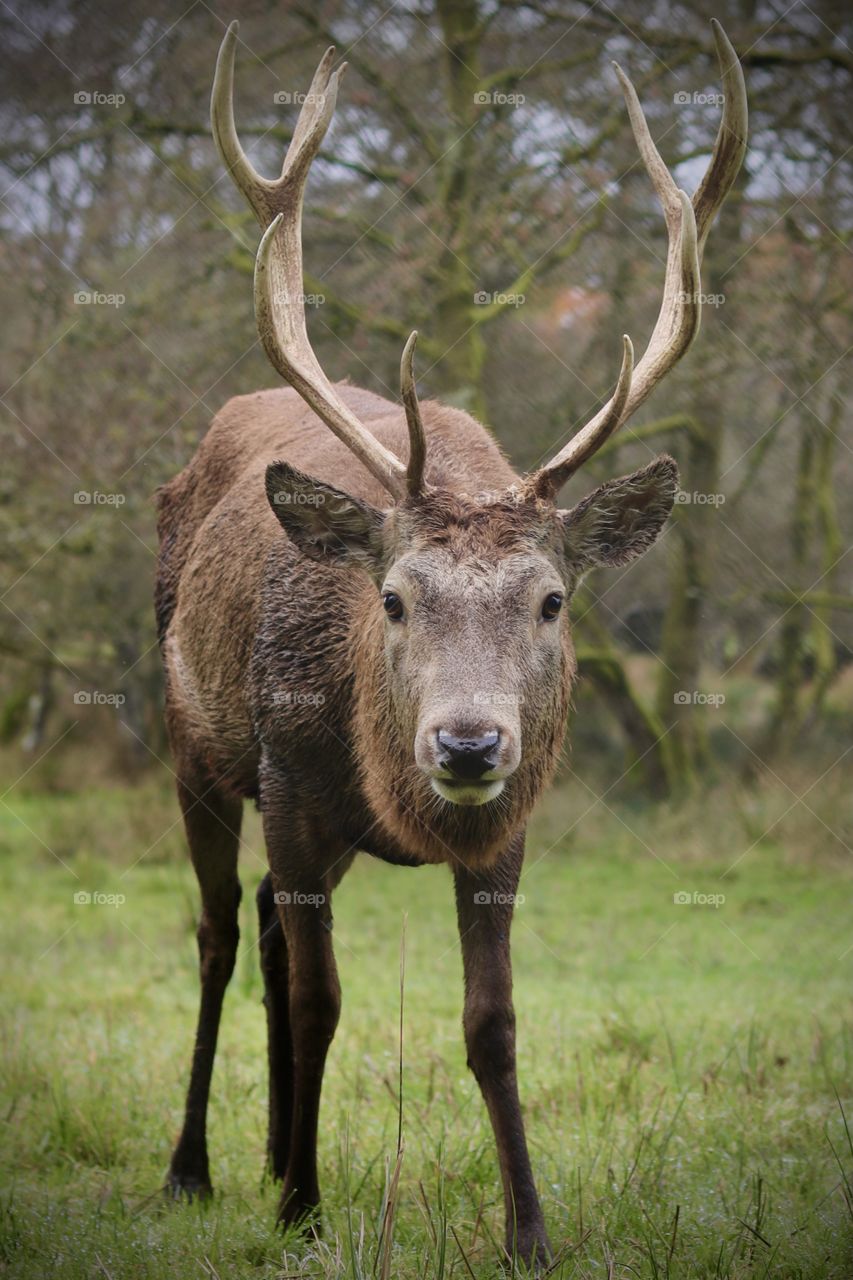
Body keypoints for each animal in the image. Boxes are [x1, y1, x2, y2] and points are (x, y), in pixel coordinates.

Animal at [155, 18, 746, 1269]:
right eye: (391, 596)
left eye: (552, 600)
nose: (468, 745)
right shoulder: (290, 786)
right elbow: (322, 1000)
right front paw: (303, 1208)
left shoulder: (508, 828)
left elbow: (492, 1020)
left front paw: (528, 1228)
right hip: (195, 744)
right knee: (223, 936)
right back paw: (199, 1168)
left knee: (266, 937)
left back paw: (270, 1150)